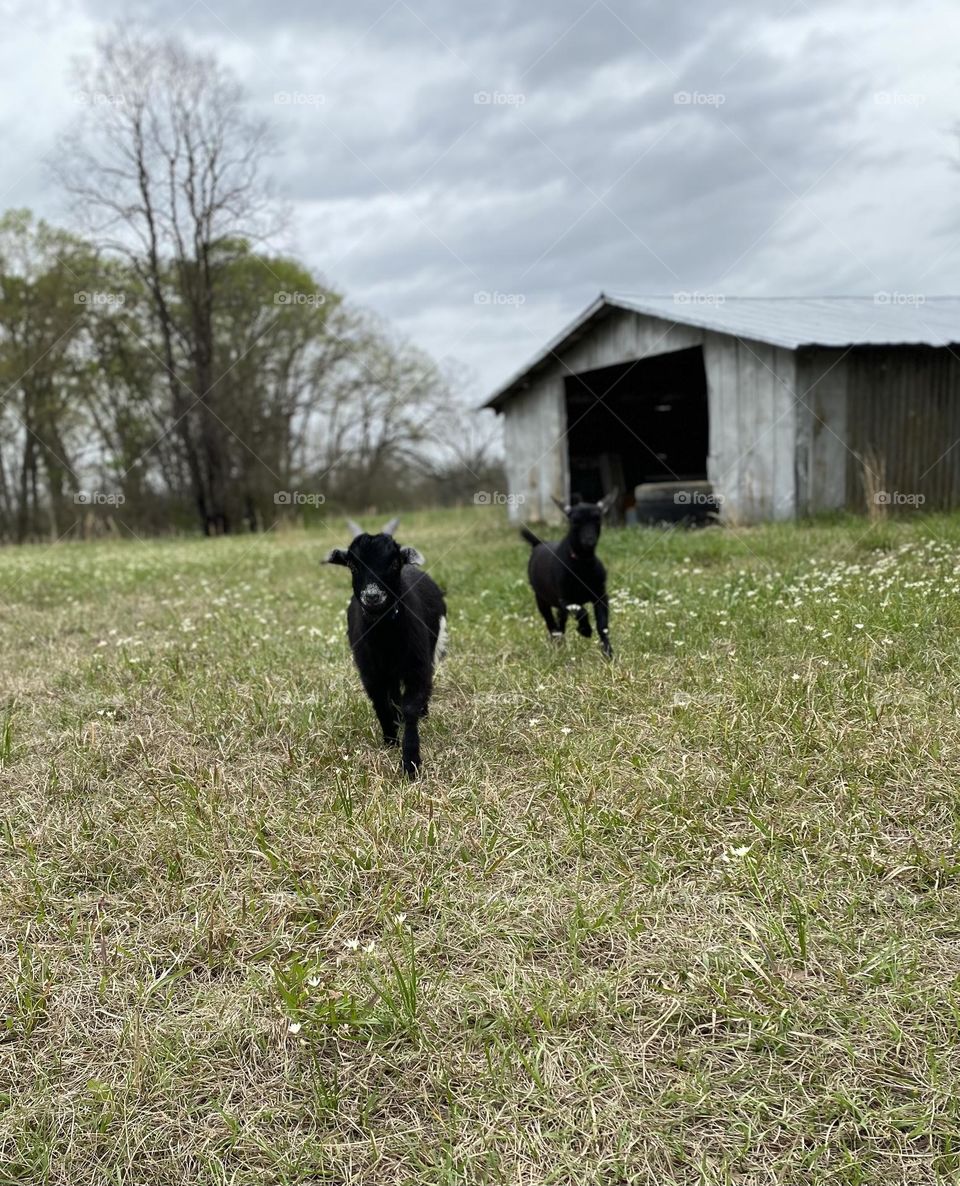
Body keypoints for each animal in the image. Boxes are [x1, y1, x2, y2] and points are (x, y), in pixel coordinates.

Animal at [326, 518, 446, 778]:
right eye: (352, 565)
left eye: (393, 562)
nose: (372, 596)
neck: (385, 638)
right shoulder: (370, 672)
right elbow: (381, 703)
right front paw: (390, 739)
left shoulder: (417, 667)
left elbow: (410, 706)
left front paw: (411, 762)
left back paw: (423, 713)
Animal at [521, 490, 617, 658]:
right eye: (574, 522)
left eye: (598, 519)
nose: (589, 541)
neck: (582, 565)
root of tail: (539, 543)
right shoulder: (565, 599)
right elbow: (582, 611)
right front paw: (585, 630)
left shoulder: (600, 596)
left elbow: (602, 625)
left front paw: (608, 652)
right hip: (541, 599)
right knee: (551, 623)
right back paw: (557, 641)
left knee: (561, 622)